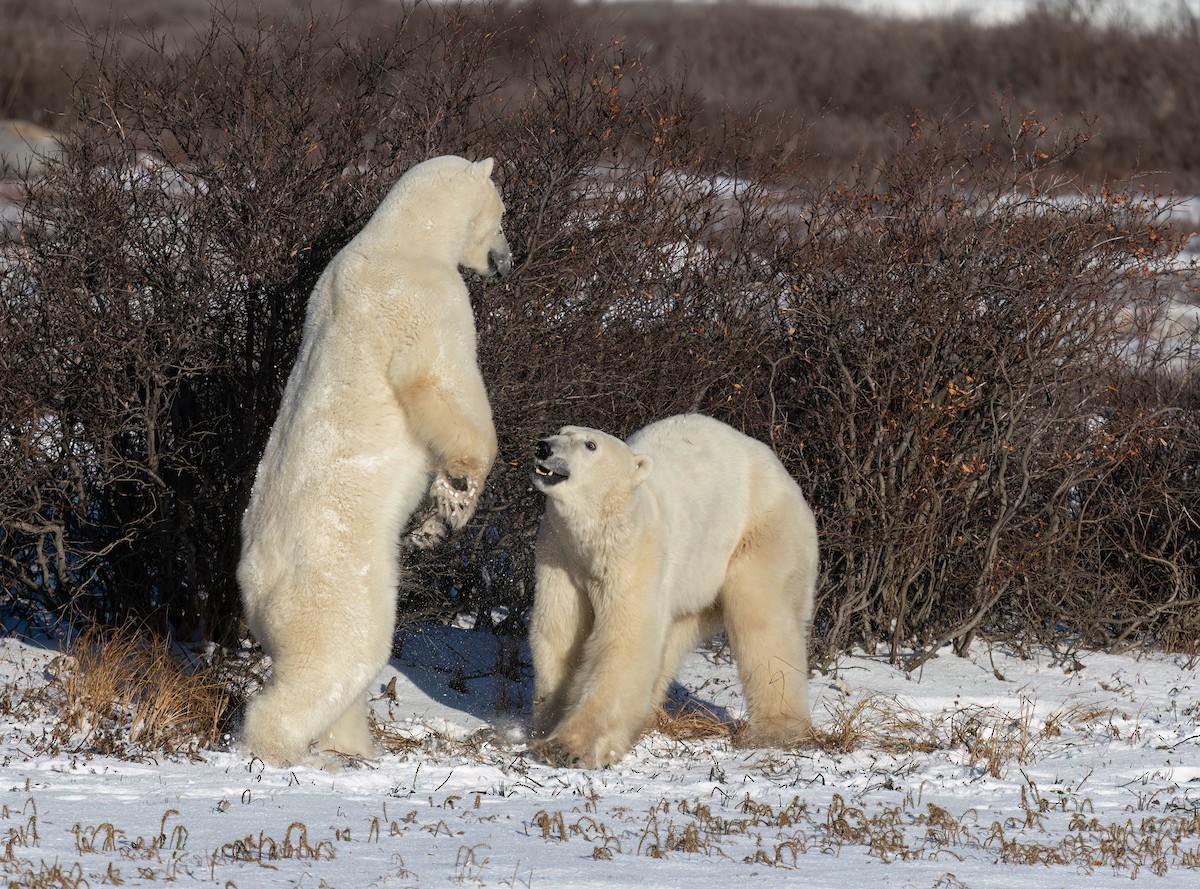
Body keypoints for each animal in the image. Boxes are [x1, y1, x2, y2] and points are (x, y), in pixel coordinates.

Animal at [237, 155, 512, 766]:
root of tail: (255, 583)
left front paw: (432, 523)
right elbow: (443, 383)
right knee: (340, 657)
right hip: (336, 584)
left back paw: (353, 745)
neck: (401, 237)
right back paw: (284, 750)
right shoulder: (423, 301)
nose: (509, 259)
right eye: (503, 214)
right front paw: (455, 498)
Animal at [529, 413, 818, 768]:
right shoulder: (560, 555)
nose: (544, 446)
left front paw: (569, 747)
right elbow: (559, 631)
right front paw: (545, 724)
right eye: (560, 431)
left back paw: (777, 731)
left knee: (764, 619)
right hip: (695, 583)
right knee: (674, 638)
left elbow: (624, 640)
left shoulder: (637, 553)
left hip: (761, 535)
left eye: (590, 444)